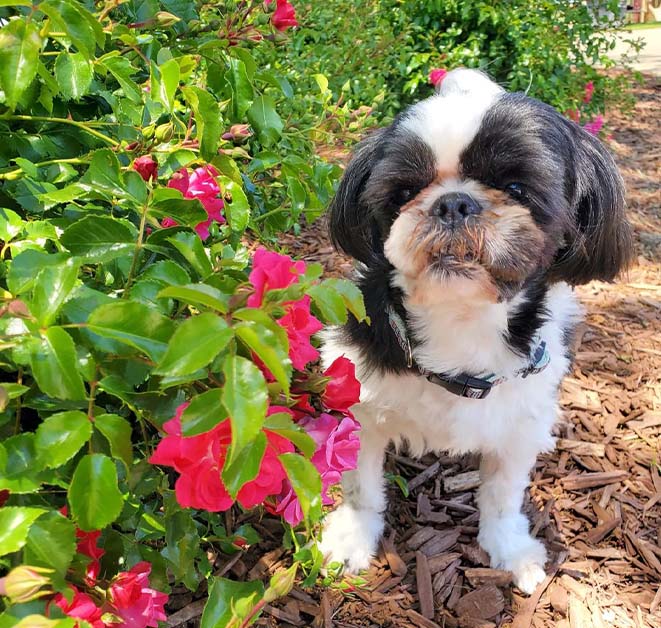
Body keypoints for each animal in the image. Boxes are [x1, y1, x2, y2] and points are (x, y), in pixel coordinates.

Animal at [318, 68, 632, 592]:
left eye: (517, 187)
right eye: (403, 193)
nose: (453, 203)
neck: (462, 322)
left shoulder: (520, 420)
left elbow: (502, 494)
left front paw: (510, 548)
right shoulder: (362, 405)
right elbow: (360, 485)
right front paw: (351, 539)